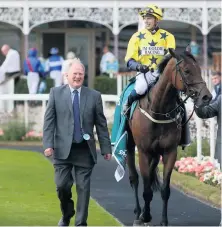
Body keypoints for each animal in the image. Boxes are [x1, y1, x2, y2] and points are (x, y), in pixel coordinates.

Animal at [125, 47, 212, 226]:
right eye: (187, 71)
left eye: (200, 70)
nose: (206, 96)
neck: (158, 110)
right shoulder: (143, 152)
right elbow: (145, 188)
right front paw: (144, 216)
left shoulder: (169, 152)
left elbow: (164, 189)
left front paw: (163, 220)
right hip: (130, 146)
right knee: (134, 178)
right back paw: (138, 212)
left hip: (155, 154)